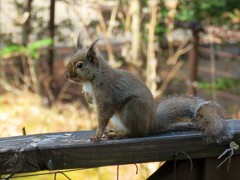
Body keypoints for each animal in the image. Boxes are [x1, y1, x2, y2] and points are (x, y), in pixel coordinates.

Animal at [64, 37, 230, 143]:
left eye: (80, 65)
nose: (66, 75)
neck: (93, 78)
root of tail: (152, 124)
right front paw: (88, 98)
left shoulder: (105, 95)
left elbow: (103, 116)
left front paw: (97, 135)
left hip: (132, 109)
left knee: (138, 133)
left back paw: (121, 134)